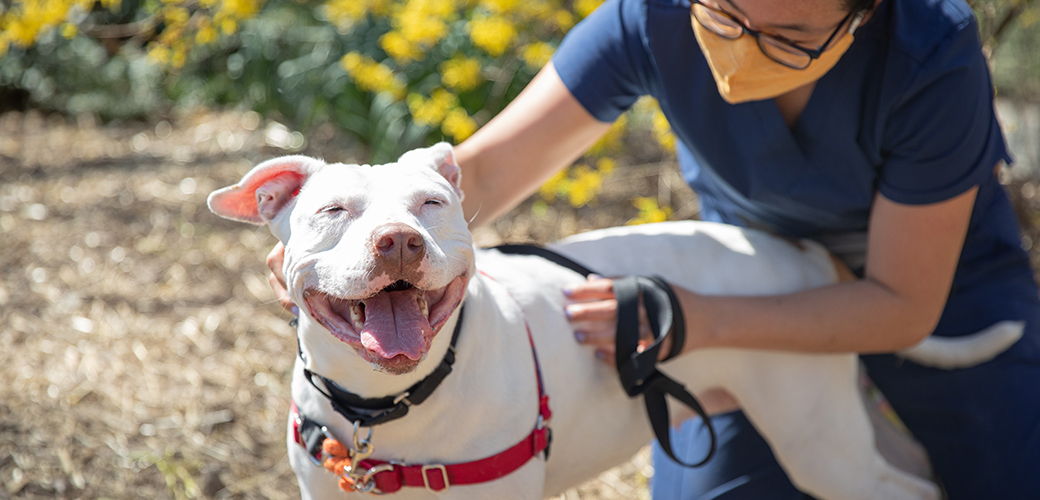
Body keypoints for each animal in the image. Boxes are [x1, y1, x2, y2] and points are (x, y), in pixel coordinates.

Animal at [209, 142, 1023, 496]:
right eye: (332, 211)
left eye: (430, 205)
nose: (399, 241)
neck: (387, 407)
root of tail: (806, 255)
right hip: (842, 430)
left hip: (820, 445)